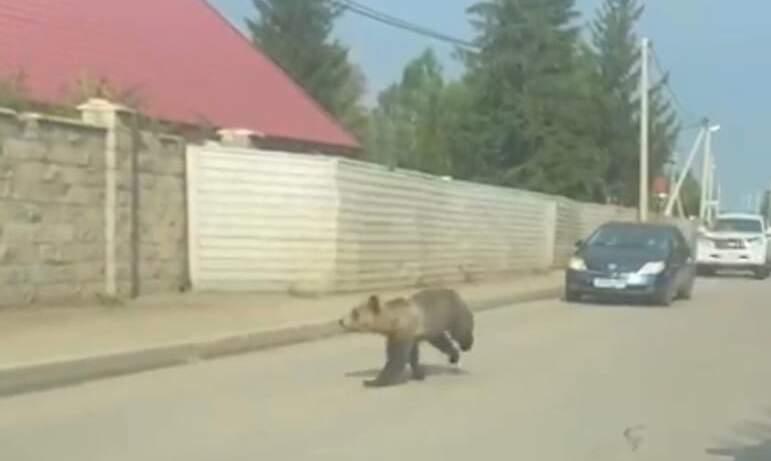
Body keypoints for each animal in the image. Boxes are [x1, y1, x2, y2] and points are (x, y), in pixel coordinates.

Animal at [340, 286, 476, 386]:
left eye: (355, 313)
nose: (341, 321)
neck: (393, 321)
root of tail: (456, 294)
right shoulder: (404, 335)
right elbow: (412, 355)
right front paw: (419, 374)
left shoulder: (402, 333)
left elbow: (396, 359)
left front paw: (373, 381)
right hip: (434, 328)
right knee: (442, 341)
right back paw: (454, 356)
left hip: (454, 315)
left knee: (461, 332)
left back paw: (466, 346)